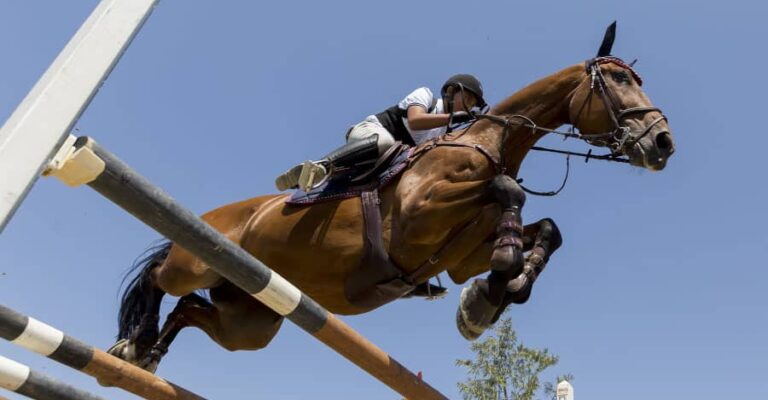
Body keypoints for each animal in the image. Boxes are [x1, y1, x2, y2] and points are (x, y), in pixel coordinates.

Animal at [108, 23, 675, 372]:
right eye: (618, 79)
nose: (663, 143)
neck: (488, 143)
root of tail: (213, 217)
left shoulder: (464, 253)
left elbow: (546, 232)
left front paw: (491, 298)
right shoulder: (419, 214)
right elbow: (507, 189)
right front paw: (493, 290)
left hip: (250, 317)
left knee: (192, 311)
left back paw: (147, 354)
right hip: (197, 261)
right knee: (162, 279)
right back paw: (135, 339)